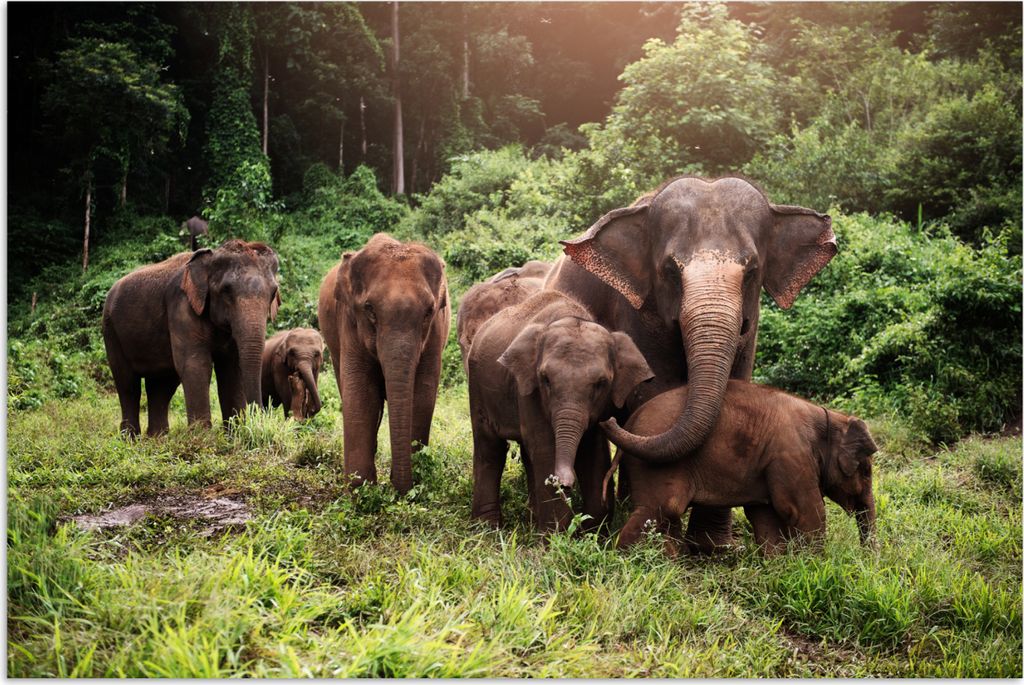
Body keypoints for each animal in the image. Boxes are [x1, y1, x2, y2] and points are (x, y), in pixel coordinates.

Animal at [102, 240, 281, 436]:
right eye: (226, 290)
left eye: (273, 293)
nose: (259, 426)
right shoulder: (182, 307)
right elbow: (196, 365)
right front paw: (203, 438)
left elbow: (232, 369)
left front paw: (234, 435)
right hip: (111, 331)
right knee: (127, 383)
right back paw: (130, 438)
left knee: (161, 384)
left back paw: (157, 438)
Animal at [318, 233, 450, 494]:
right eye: (369, 309)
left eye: (428, 311)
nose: (400, 489)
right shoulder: (350, 322)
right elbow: (361, 395)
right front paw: (361, 490)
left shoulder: (435, 331)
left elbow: (422, 395)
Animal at [468, 290, 653, 532]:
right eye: (545, 379)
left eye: (601, 383)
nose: (565, 483)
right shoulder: (528, 390)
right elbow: (546, 448)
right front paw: (553, 537)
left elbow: (593, 451)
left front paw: (593, 532)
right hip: (477, 386)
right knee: (490, 448)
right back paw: (487, 528)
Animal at [545, 175, 836, 551]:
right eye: (670, 270)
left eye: (752, 270)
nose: (607, 419)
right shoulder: (638, 313)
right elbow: (655, 392)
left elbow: (736, 385)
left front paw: (713, 548)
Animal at [607, 380, 877, 555]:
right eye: (866, 472)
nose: (868, 563)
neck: (829, 417)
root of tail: (631, 420)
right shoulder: (791, 456)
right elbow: (806, 513)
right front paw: (815, 565)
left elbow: (766, 515)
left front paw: (780, 566)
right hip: (655, 466)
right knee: (660, 509)